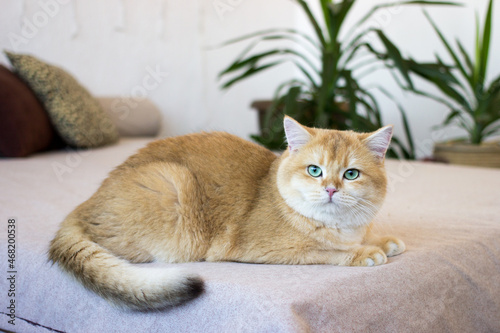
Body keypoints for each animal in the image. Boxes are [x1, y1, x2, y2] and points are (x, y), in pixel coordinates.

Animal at [48, 116, 404, 308]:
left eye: (351, 174)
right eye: (315, 171)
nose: (330, 189)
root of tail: (84, 206)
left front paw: (382, 241)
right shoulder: (265, 249)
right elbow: (325, 250)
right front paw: (363, 252)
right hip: (172, 183)